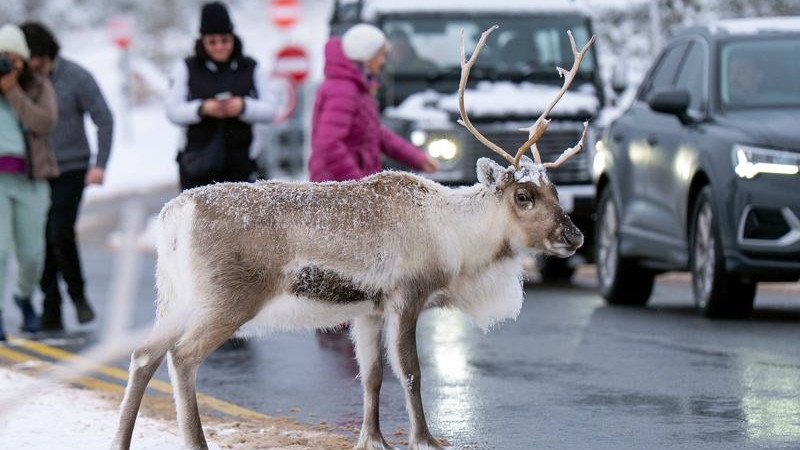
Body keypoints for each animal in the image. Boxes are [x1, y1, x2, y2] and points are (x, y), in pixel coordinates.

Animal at [112, 26, 594, 450]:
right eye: (523, 195)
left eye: (554, 191)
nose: (575, 236)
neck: (454, 236)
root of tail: (174, 216)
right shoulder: (406, 295)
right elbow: (411, 372)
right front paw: (424, 439)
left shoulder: (368, 309)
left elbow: (371, 375)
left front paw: (373, 438)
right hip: (225, 300)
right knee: (181, 357)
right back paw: (195, 441)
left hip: (175, 297)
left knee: (143, 354)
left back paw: (120, 440)